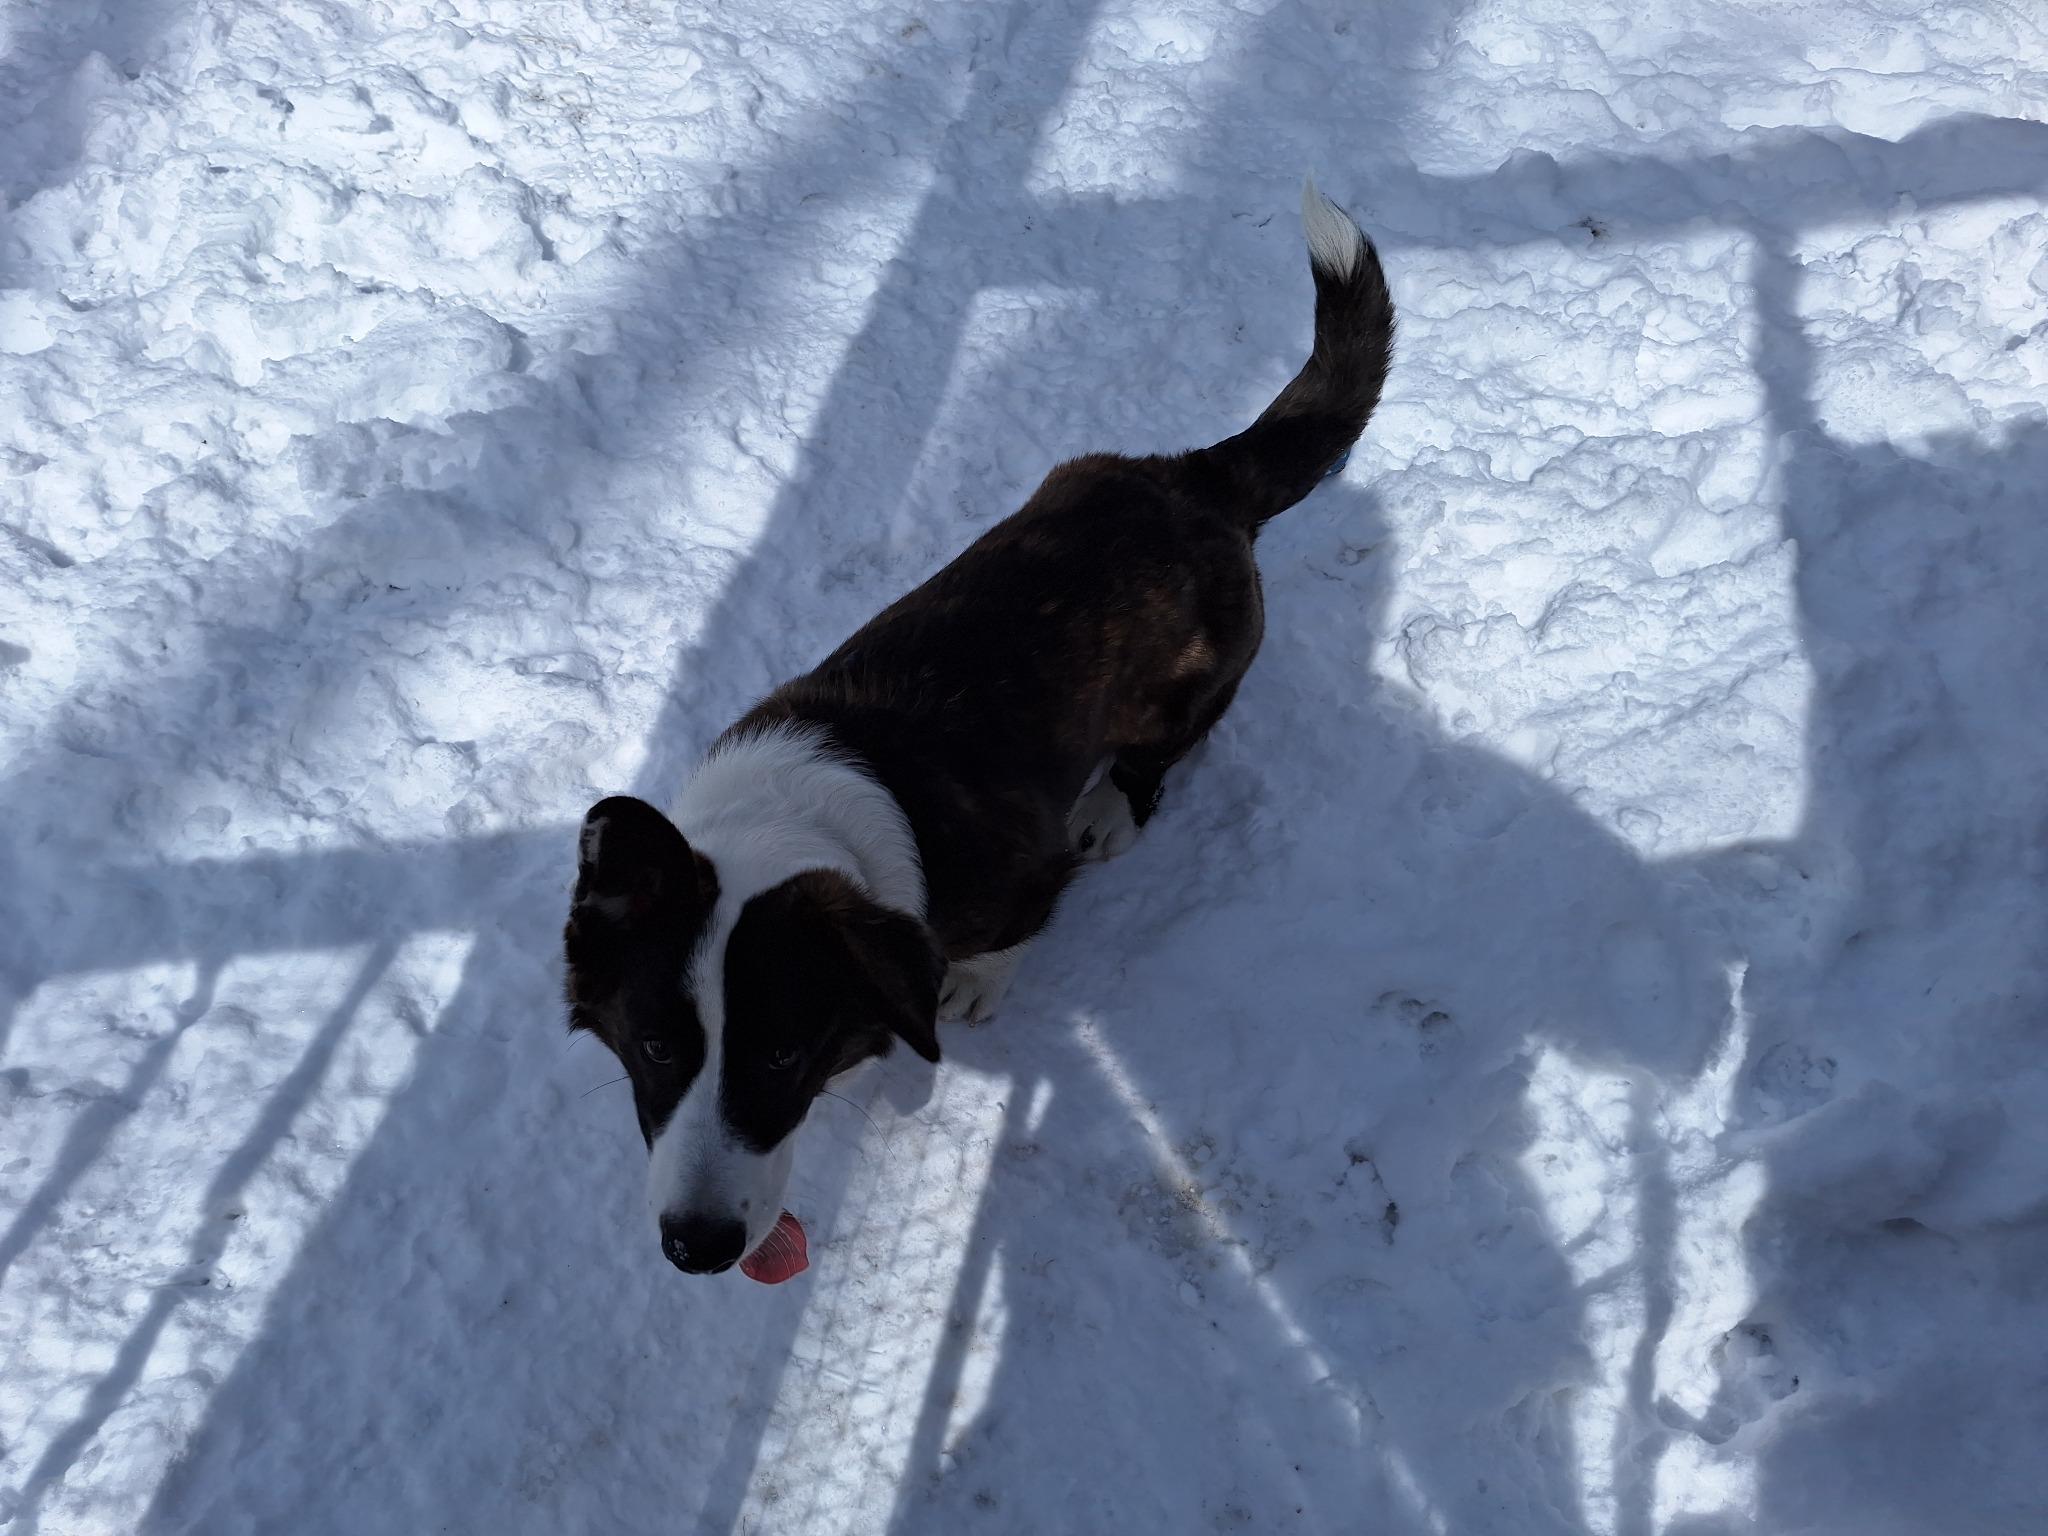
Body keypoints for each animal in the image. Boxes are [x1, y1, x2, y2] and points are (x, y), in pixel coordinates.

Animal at [562, 181, 1393, 1277]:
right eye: (656, 1046)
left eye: (784, 1050)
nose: (697, 1247)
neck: (790, 829)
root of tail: (1198, 478)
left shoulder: (1023, 873)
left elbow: (1006, 940)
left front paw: (968, 990)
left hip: (1186, 686)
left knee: (1165, 752)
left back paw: (1114, 810)